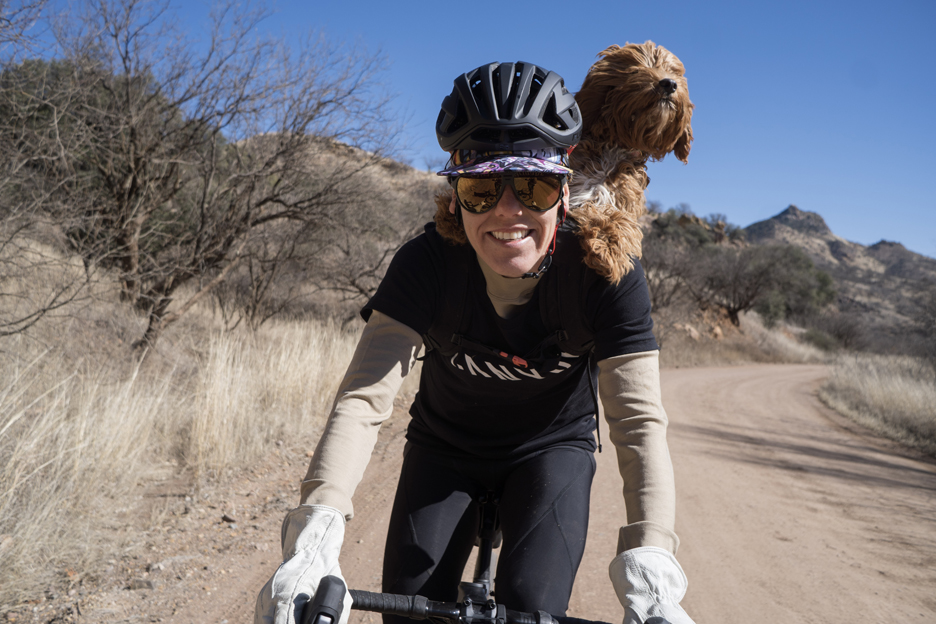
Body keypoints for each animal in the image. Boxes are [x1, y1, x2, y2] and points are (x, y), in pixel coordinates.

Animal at [568, 39, 692, 282]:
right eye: (637, 70)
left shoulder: (621, 197)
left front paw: (607, 247)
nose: (669, 84)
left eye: (673, 72)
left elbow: (614, 214)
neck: (615, 145)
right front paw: (606, 246)